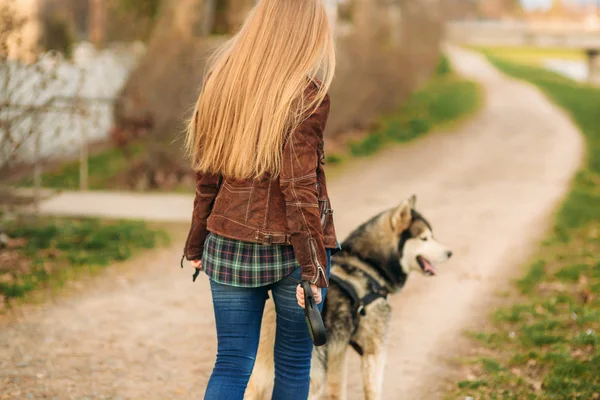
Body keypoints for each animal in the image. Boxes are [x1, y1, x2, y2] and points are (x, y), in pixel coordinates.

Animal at [244, 195, 450, 398]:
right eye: (424, 238)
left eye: (431, 236)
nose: (449, 252)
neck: (367, 265)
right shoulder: (374, 351)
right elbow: (373, 391)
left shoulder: (338, 350)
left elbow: (338, 389)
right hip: (311, 373)